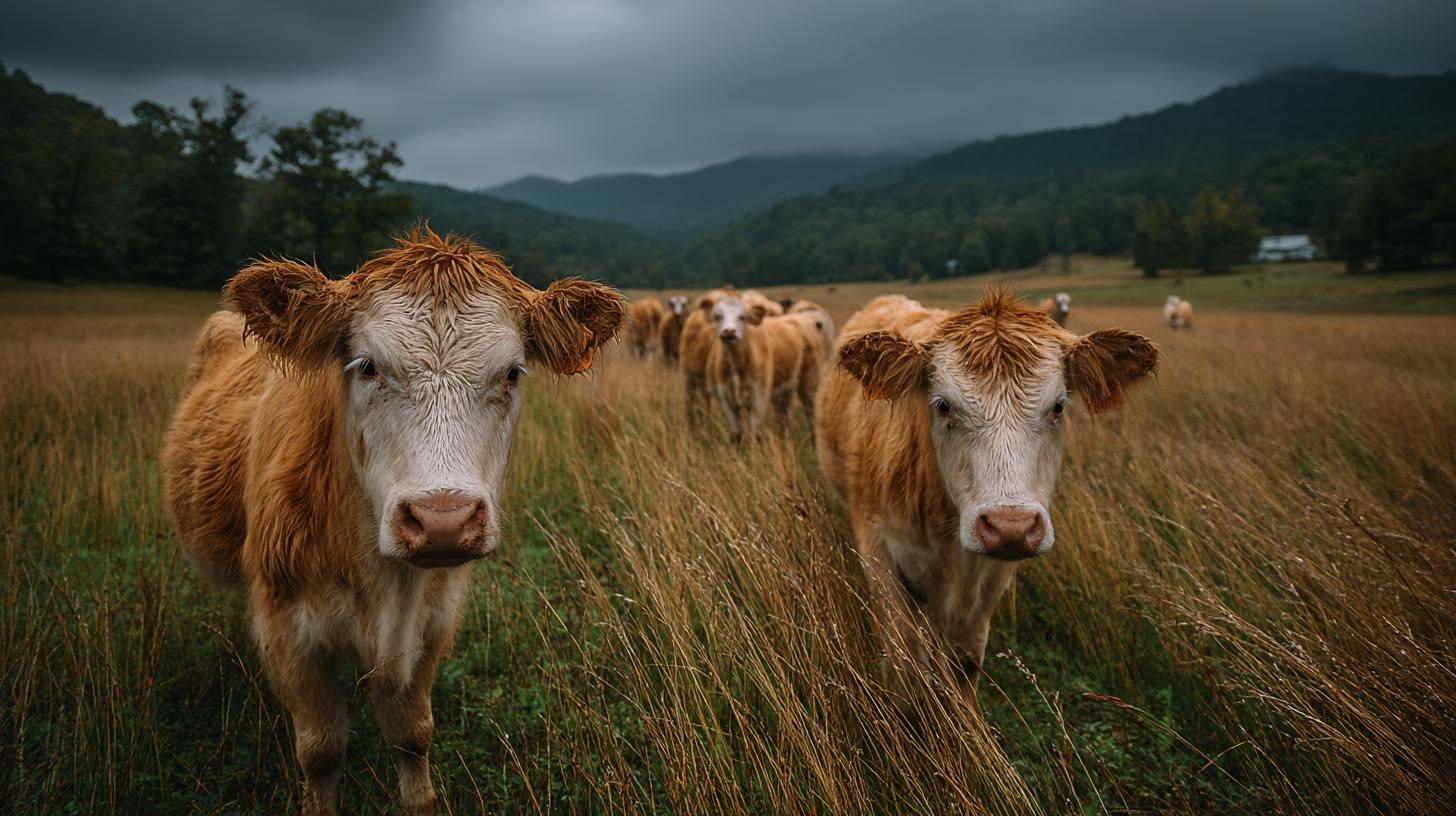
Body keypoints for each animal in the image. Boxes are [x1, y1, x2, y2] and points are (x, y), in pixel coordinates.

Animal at [161, 228, 626, 816]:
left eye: (513, 373)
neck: (383, 587)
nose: (442, 520)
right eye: (367, 366)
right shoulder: (287, 629)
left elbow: (412, 735)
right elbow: (321, 748)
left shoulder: (433, 622)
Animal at [705, 295, 826, 442]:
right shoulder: (726, 400)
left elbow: (754, 433)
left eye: (742, 317)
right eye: (717, 316)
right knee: (784, 419)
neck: (737, 366)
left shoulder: (759, 399)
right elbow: (735, 434)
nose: (729, 331)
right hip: (785, 390)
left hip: (810, 385)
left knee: (812, 417)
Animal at [816, 291, 1158, 708]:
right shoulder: (877, 551)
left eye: (1059, 406)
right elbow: (905, 662)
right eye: (943, 404)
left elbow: (963, 665)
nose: (1011, 527)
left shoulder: (989, 581)